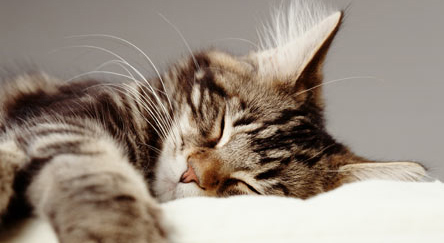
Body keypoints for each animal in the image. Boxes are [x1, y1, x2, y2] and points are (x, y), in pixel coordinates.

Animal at [0, 0, 426, 243]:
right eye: (221, 128)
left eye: (248, 187)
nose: (191, 173)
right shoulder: (63, 119)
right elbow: (94, 174)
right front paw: (118, 231)